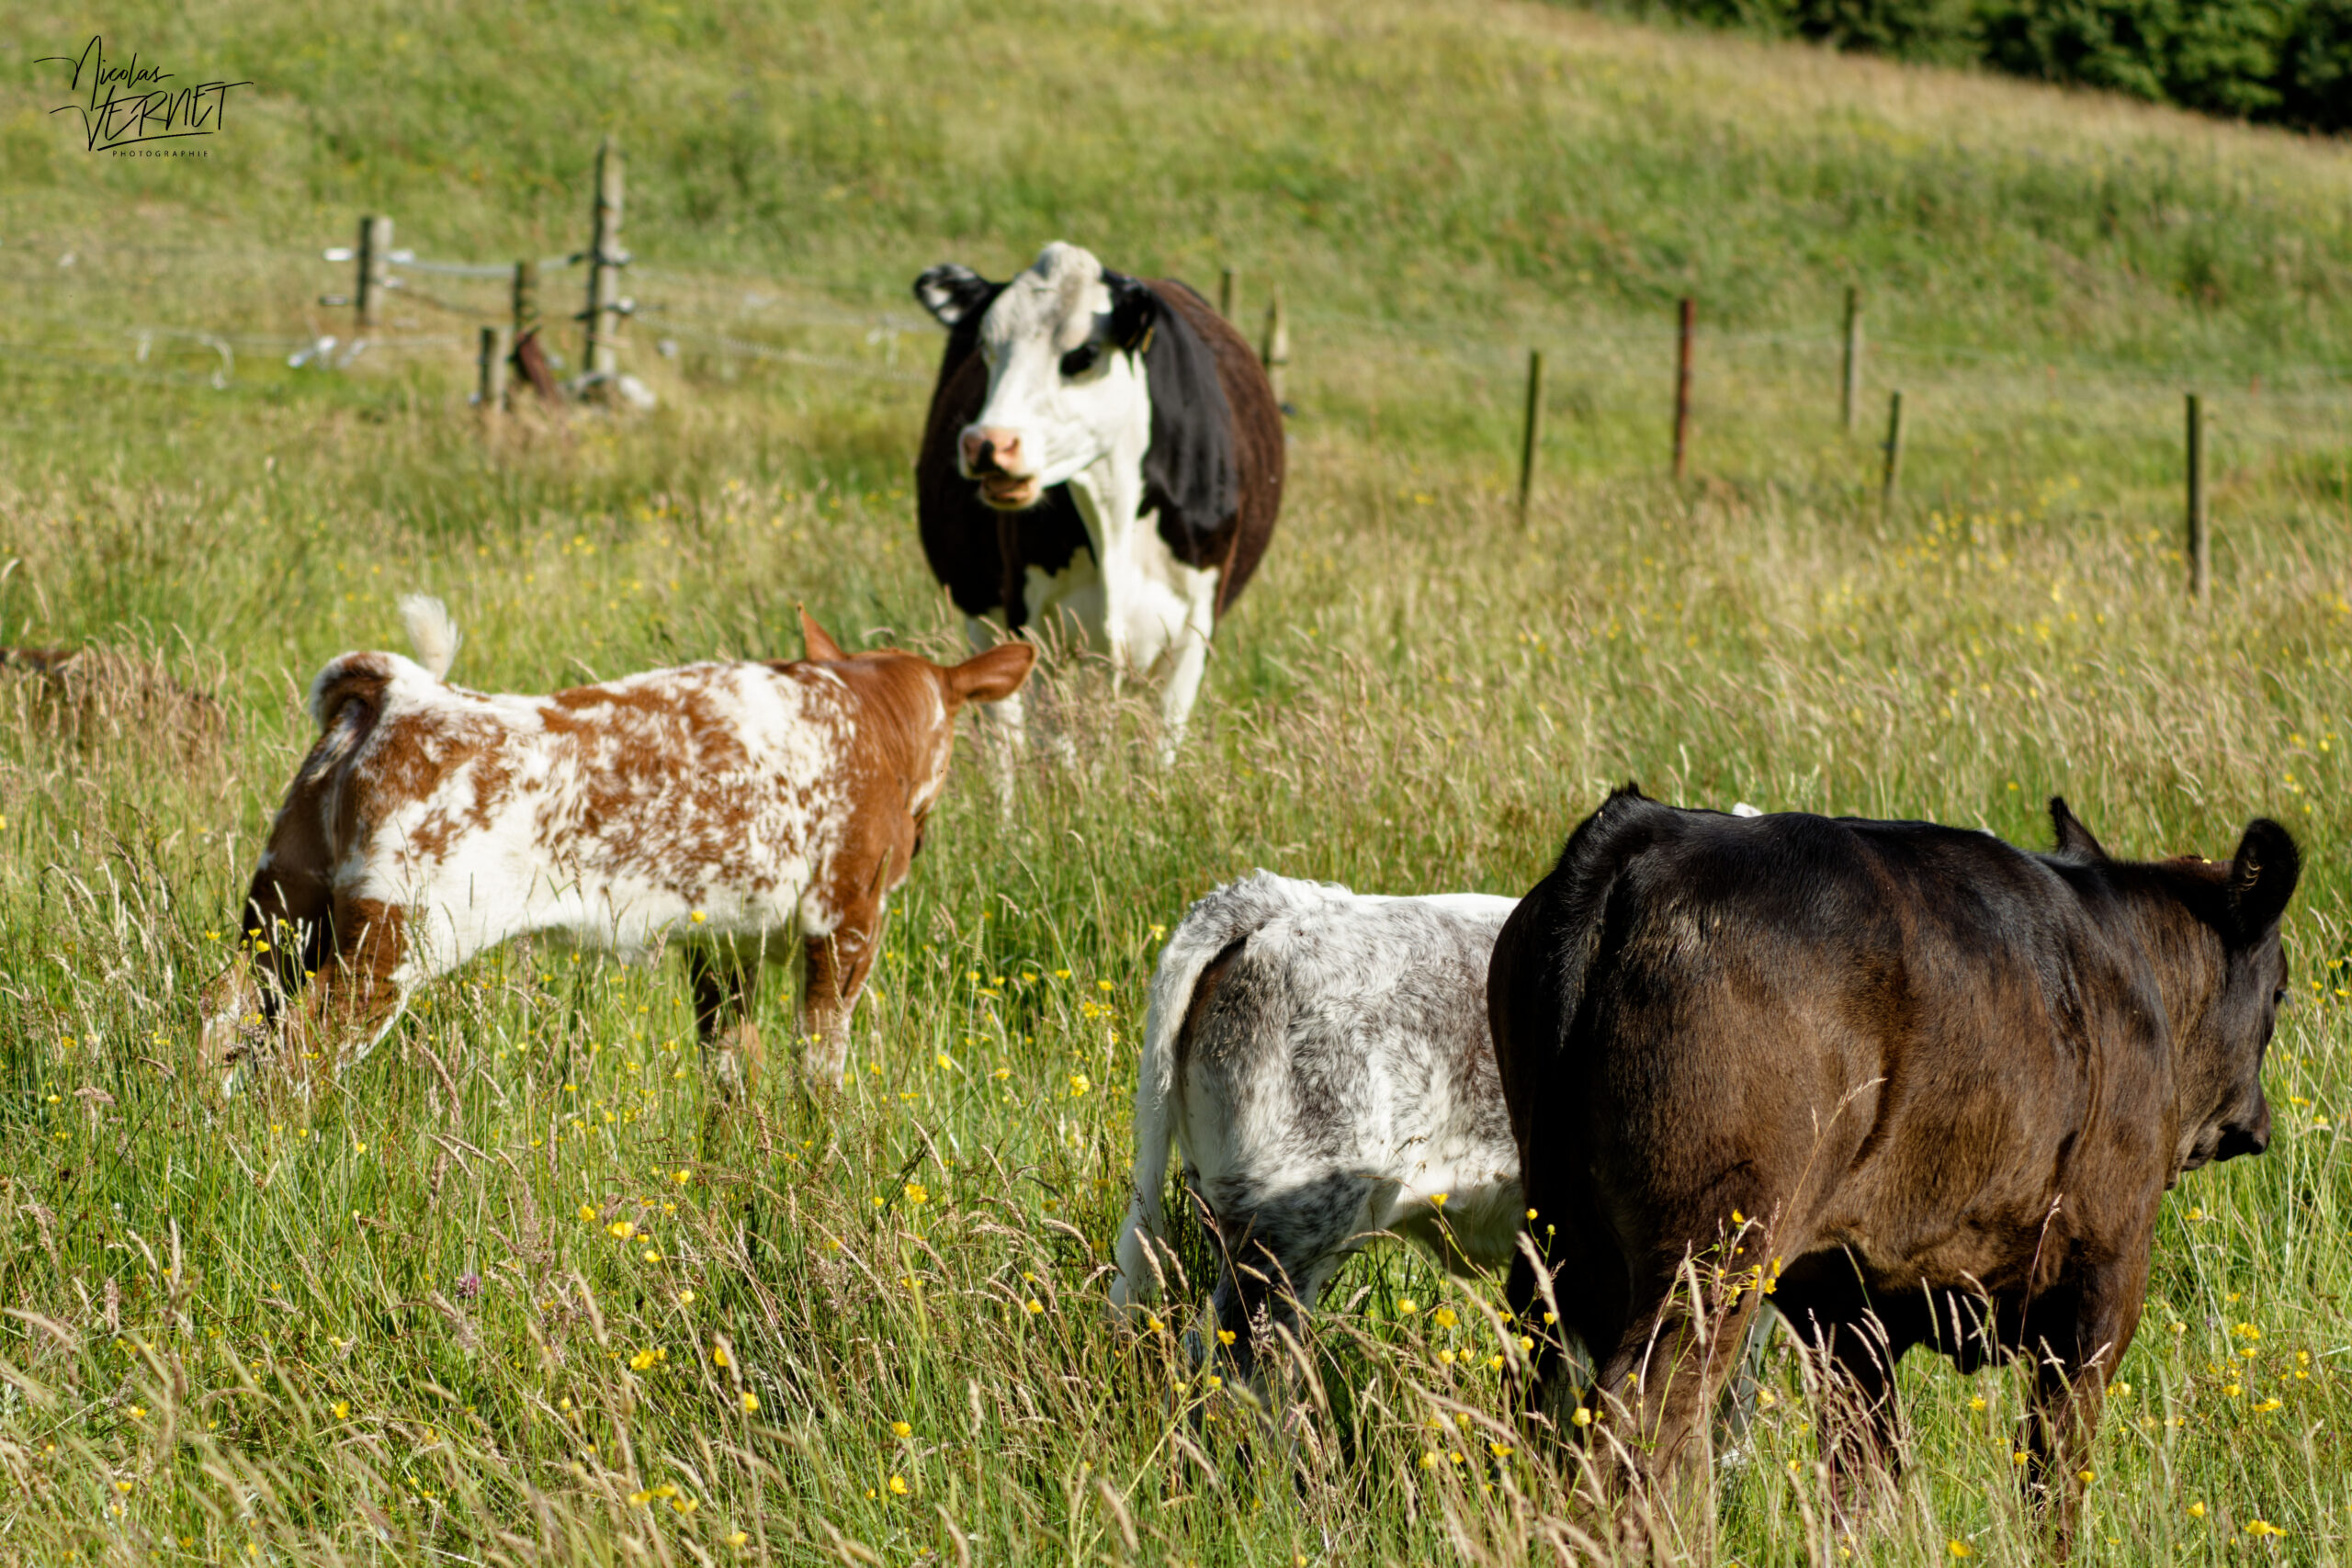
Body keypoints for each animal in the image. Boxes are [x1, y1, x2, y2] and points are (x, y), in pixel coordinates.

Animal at [200, 597, 1034, 1096]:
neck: (868, 717)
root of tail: (403, 693)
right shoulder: (847, 915)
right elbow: (819, 1061)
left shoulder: (724, 938)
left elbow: (729, 1065)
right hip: (391, 945)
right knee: (292, 1057)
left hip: (280, 909)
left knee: (222, 1019)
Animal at [911, 242, 1283, 762]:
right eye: (987, 348)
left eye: (1082, 354)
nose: (987, 444)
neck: (1112, 506)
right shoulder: (1035, 629)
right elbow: (1057, 750)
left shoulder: (1194, 630)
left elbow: (1159, 748)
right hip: (981, 613)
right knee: (1004, 735)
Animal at [1487, 786, 2297, 1551]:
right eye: (2282, 990)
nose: (2258, 1123)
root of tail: (1648, 832)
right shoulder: (2107, 1268)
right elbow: (2054, 1472)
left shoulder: (1847, 1305)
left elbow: (1863, 1472)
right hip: (1710, 1255)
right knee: (1640, 1430)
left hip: (1549, 1255)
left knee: (1532, 1416)